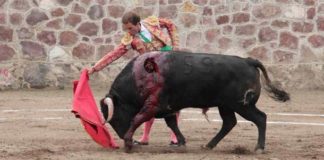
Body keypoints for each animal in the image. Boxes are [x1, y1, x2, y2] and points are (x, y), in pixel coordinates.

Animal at [98, 51, 288, 152]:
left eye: (115, 118)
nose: (121, 135)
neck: (140, 77)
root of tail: (249, 61)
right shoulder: (166, 107)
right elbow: (172, 123)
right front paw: (181, 142)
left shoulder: (153, 105)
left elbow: (138, 118)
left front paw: (128, 142)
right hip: (226, 105)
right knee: (229, 123)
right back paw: (209, 145)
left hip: (242, 105)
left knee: (260, 118)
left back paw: (259, 148)